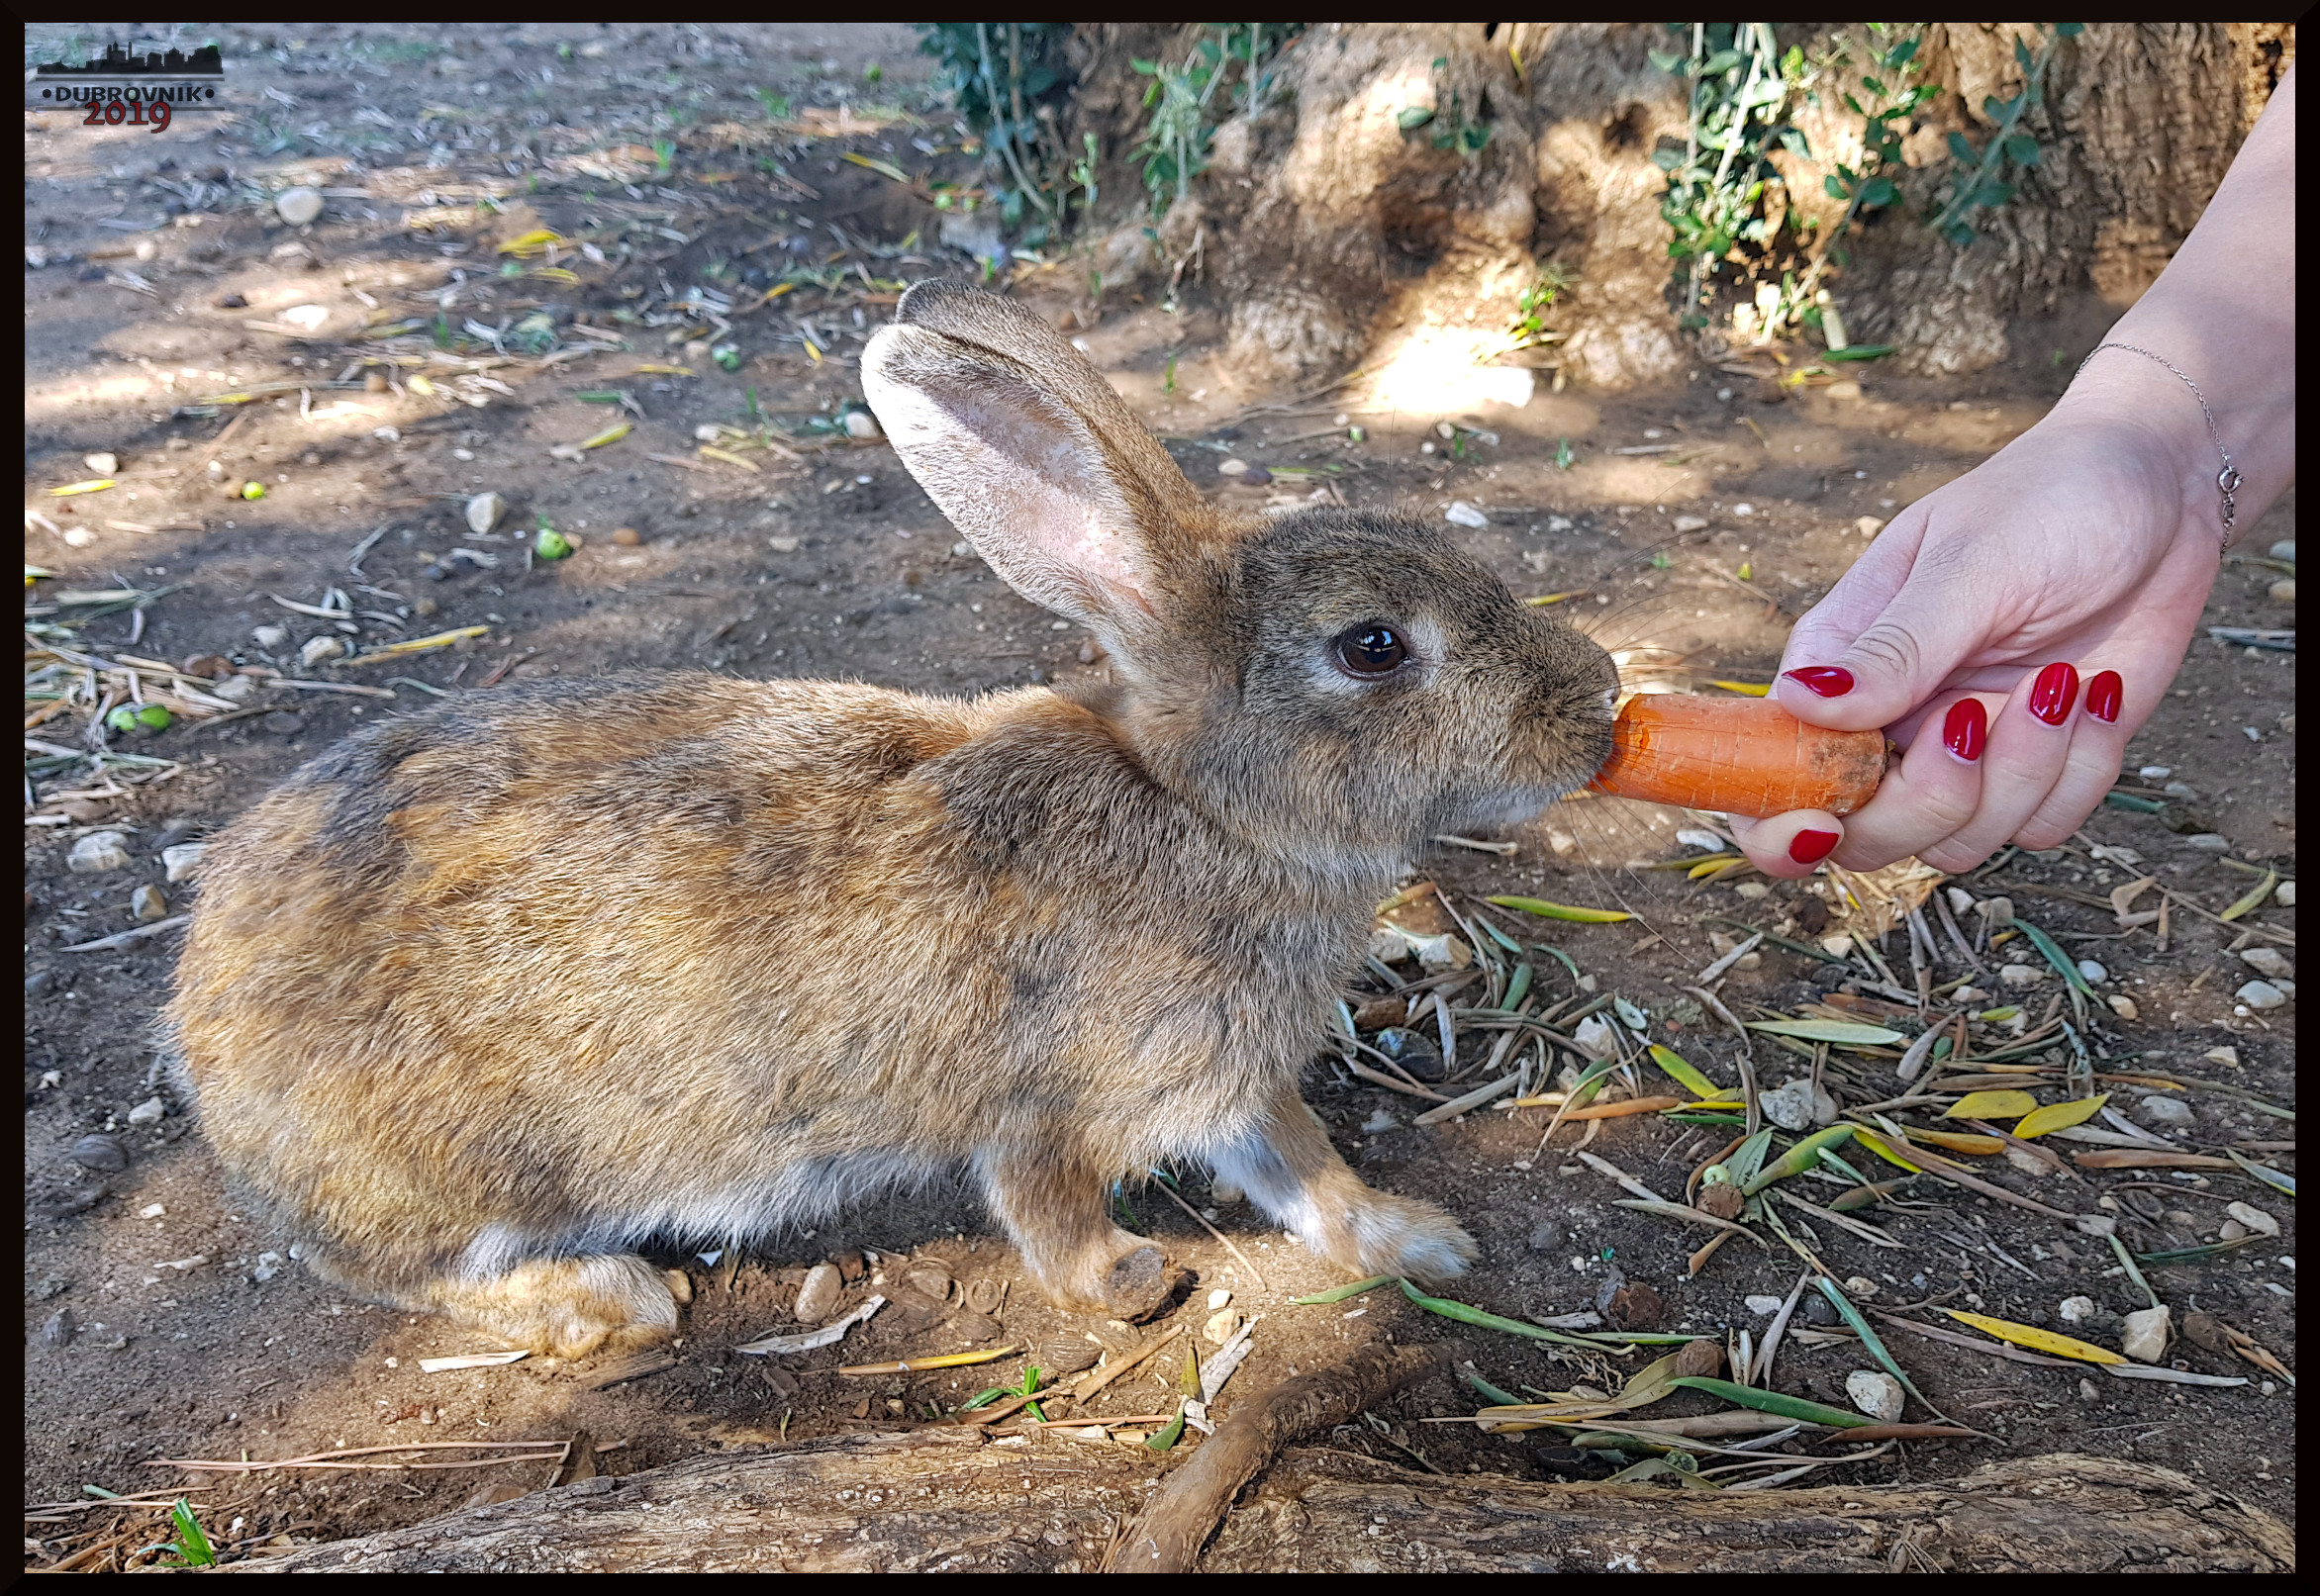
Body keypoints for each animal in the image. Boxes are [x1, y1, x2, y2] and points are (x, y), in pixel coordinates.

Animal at [162, 280, 1619, 1358]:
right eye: (1375, 646)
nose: (1601, 700)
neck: (1205, 811)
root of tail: (201, 1011)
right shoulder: (1049, 1101)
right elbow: (1050, 1210)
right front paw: (1131, 1280)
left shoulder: (1234, 1085)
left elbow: (1307, 1172)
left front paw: (1419, 1240)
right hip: (475, 1175)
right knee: (391, 1269)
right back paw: (607, 1296)